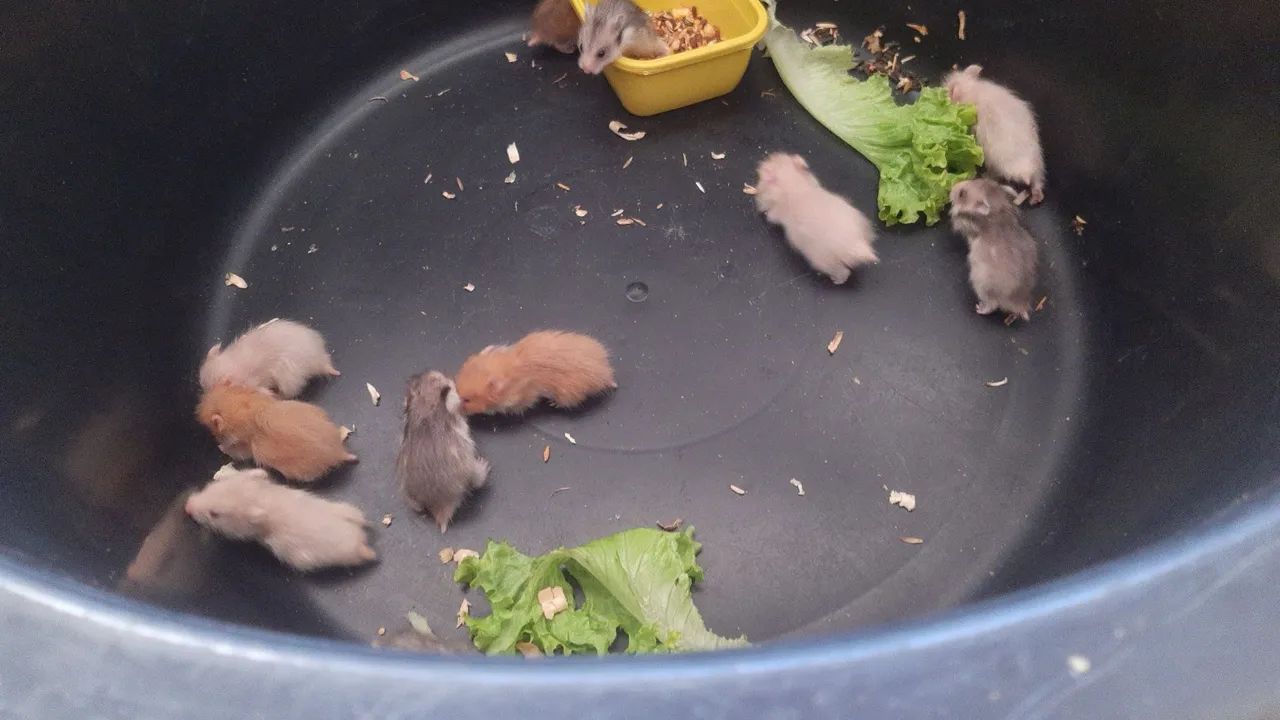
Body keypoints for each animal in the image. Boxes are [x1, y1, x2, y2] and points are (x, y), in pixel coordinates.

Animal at [396, 371, 490, 533]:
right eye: (444, 380)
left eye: (417, 383)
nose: (413, 376)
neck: (426, 406)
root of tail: (440, 507)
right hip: (470, 471)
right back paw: (484, 467)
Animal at [755, 152, 878, 285]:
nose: (761, 166)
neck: (793, 182)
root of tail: (855, 244)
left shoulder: (777, 211)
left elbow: (771, 216)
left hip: (824, 260)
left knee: (843, 272)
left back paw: (836, 280)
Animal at [943, 65, 1046, 205]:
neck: (971, 90)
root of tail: (1026, 172)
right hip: (1038, 162)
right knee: (1037, 182)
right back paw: (1035, 199)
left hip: (994, 163)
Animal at [948, 178, 1039, 320]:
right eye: (975, 179)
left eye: (962, 194)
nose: (952, 187)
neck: (996, 212)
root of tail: (1021, 305)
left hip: (981, 285)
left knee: (992, 305)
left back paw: (979, 308)